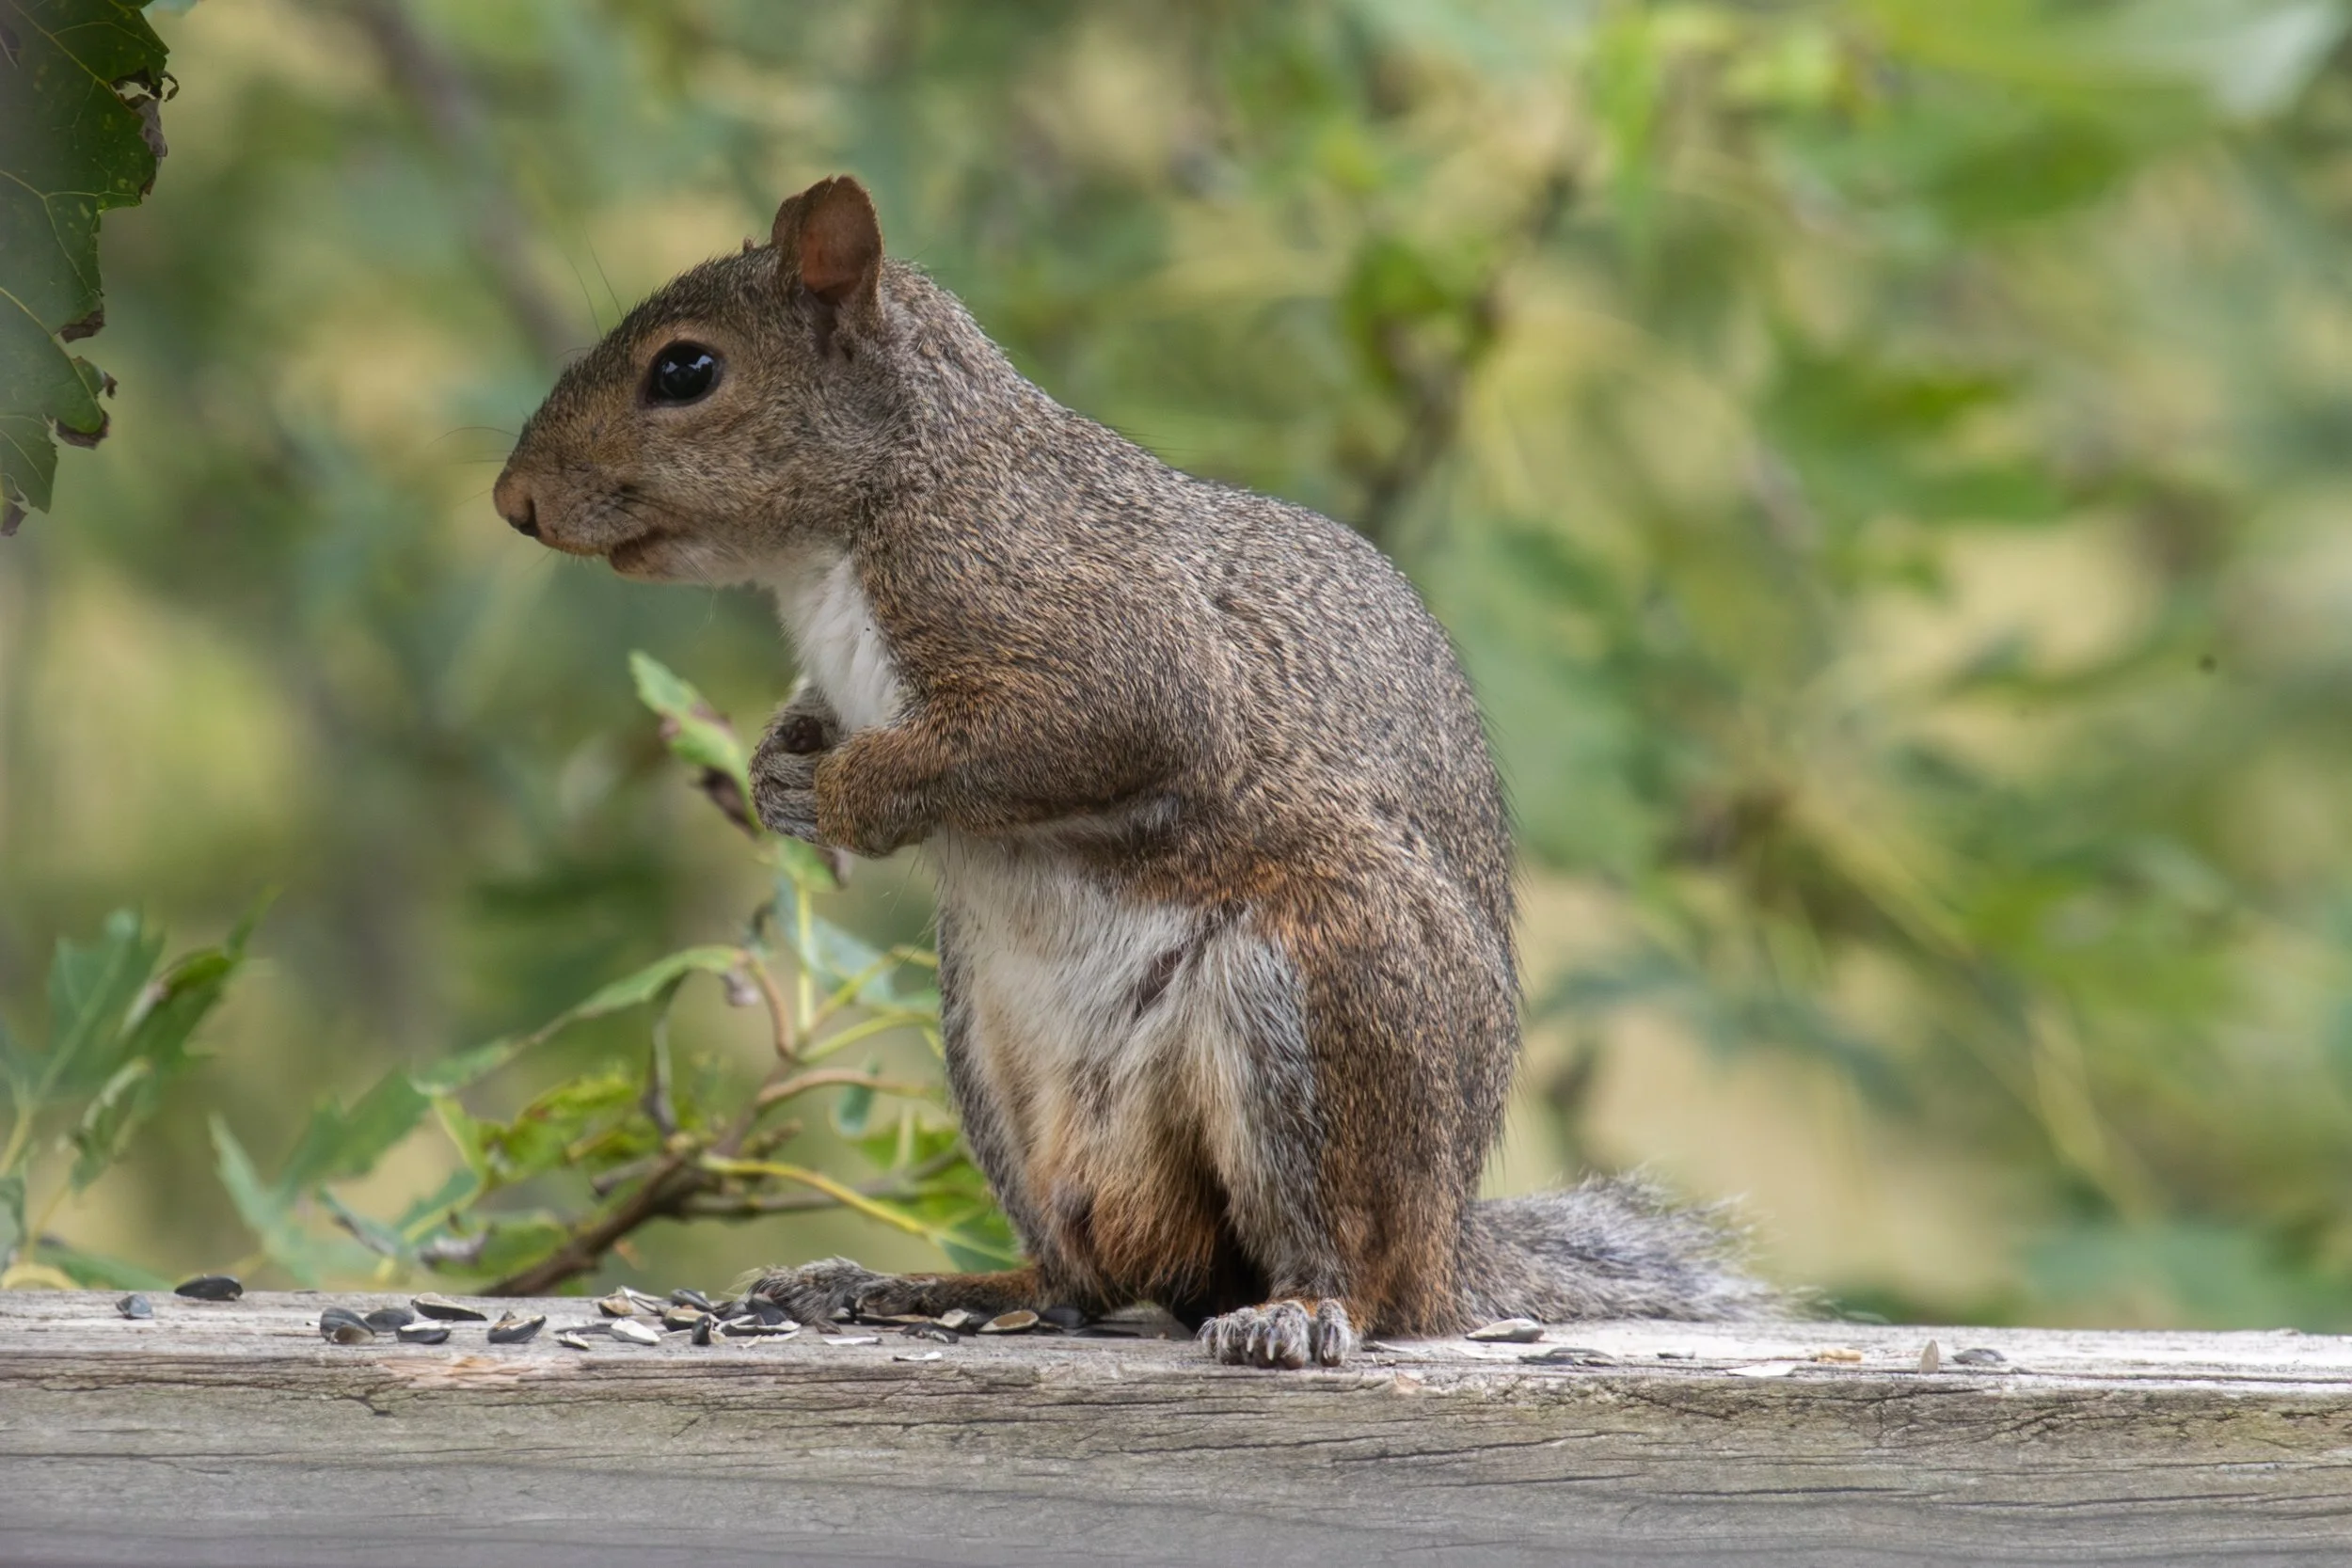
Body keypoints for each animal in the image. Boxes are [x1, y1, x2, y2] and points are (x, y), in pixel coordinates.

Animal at [493, 175, 1775, 1367]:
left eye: (685, 370)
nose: (513, 501)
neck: (867, 513)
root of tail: (1450, 1245)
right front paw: (774, 772)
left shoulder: (1073, 620)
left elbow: (1089, 729)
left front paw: (847, 793)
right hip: (989, 1047)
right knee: (1085, 1276)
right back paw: (922, 1286)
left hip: (1324, 997)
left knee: (1348, 1266)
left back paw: (1296, 1310)